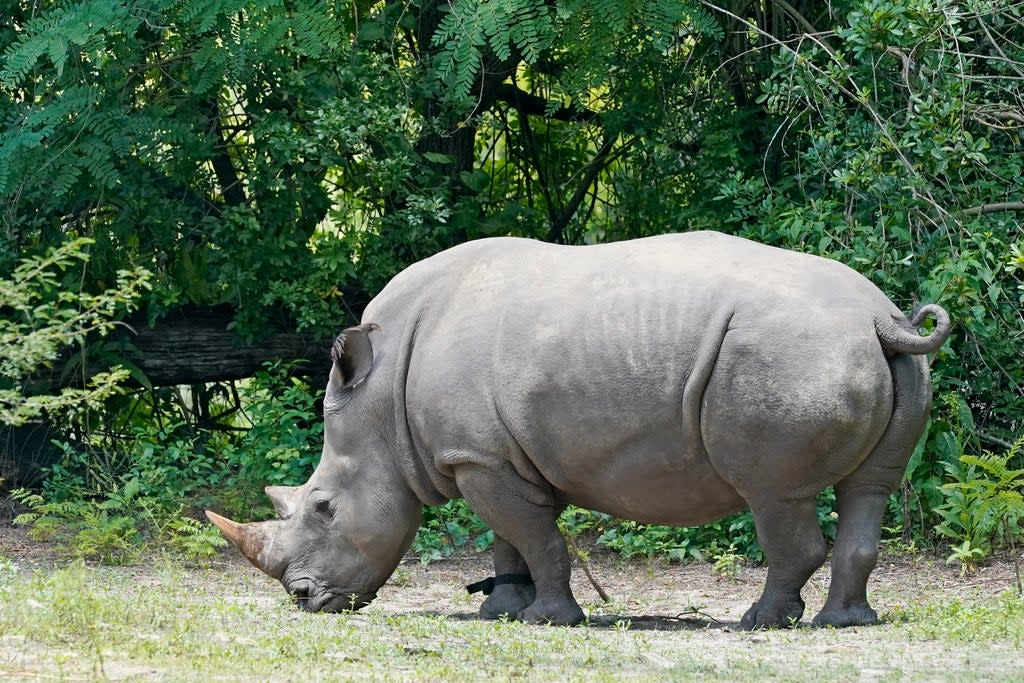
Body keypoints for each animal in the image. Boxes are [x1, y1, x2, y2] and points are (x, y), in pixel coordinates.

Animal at [207, 233, 950, 630]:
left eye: (325, 507)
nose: (304, 599)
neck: (381, 399)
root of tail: (882, 317)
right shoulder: (486, 456)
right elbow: (509, 539)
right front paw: (502, 612)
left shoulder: (478, 458)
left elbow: (536, 537)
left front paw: (548, 619)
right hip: (879, 358)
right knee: (869, 489)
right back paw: (844, 622)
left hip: (787, 356)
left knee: (774, 494)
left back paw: (760, 621)